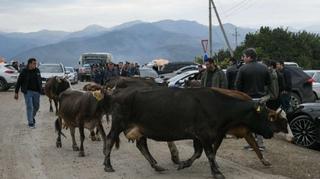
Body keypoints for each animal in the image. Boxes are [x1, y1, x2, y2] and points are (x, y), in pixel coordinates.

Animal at [102, 87, 278, 178]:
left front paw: (184, 164)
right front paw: (217, 172)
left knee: (142, 145)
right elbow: (209, 154)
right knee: (110, 140)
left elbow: (198, 153)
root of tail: (116, 93)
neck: (219, 106)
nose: (271, 133)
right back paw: (108, 165)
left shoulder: (199, 136)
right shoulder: (204, 134)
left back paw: (156, 166)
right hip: (118, 123)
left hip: (140, 128)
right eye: (265, 115)